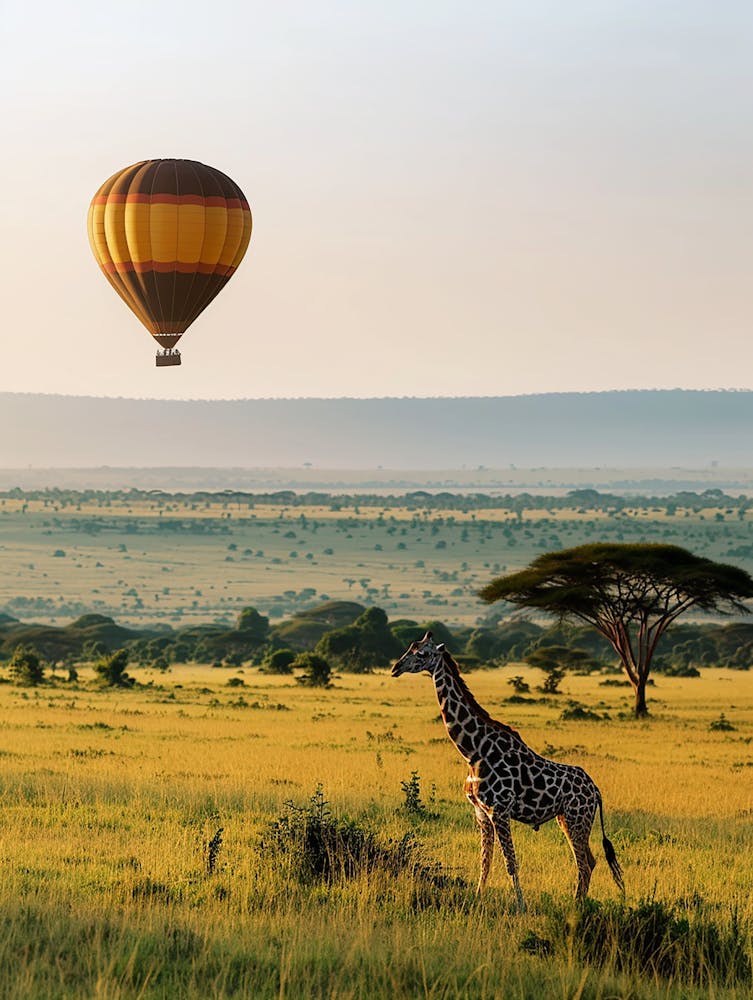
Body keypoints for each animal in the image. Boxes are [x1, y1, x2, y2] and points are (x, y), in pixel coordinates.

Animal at [391, 631, 624, 911]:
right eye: (409, 648)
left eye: (423, 654)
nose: (395, 668)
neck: (473, 751)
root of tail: (595, 790)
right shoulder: (481, 812)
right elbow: (485, 863)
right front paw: (477, 899)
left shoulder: (499, 811)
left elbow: (510, 863)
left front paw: (521, 906)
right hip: (566, 819)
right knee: (589, 860)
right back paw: (578, 904)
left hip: (578, 818)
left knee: (584, 864)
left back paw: (576, 908)